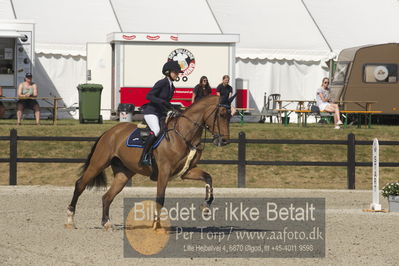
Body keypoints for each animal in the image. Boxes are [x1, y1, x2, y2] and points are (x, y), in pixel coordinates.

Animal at [66, 95, 231, 229]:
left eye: (230, 115)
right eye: (222, 114)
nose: (224, 141)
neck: (184, 135)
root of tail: (110, 132)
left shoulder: (187, 170)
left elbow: (208, 177)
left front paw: (206, 206)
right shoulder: (164, 172)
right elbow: (160, 198)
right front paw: (156, 225)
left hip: (123, 174)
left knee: (107, 197)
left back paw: (106, 223)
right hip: (98, 163)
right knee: (80, 185)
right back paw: (70, 220)